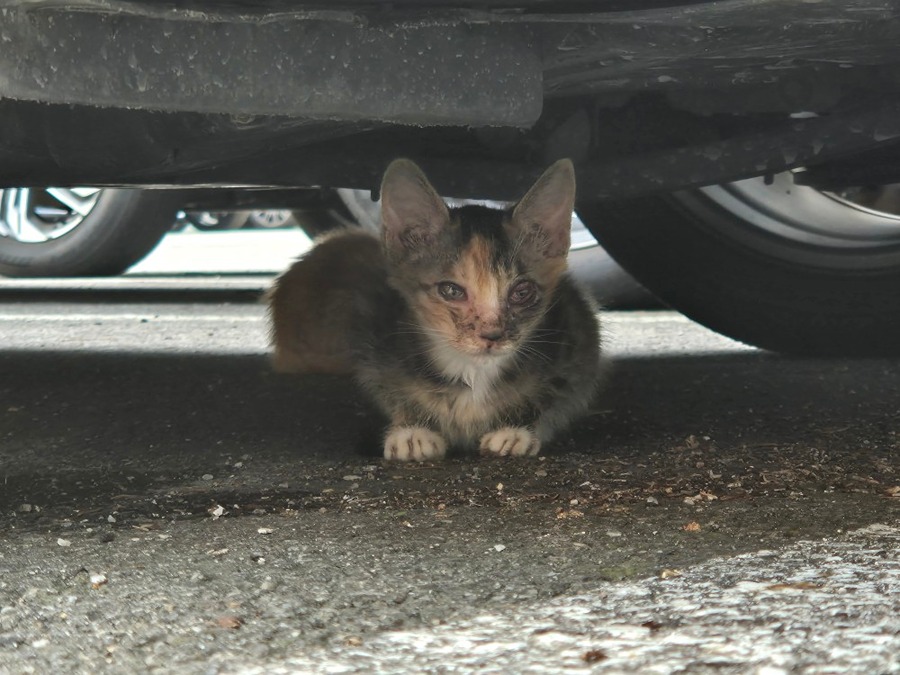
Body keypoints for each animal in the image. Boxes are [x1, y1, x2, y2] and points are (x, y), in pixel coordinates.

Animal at [268, 160, 604, 462]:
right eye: (451, 290)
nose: (492, 335)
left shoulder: (578, 338)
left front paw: (516, 429)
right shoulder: (378, 338)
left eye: (522, 292)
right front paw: (411, 430)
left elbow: (557, 397)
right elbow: (390, 389)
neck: (472, 372)